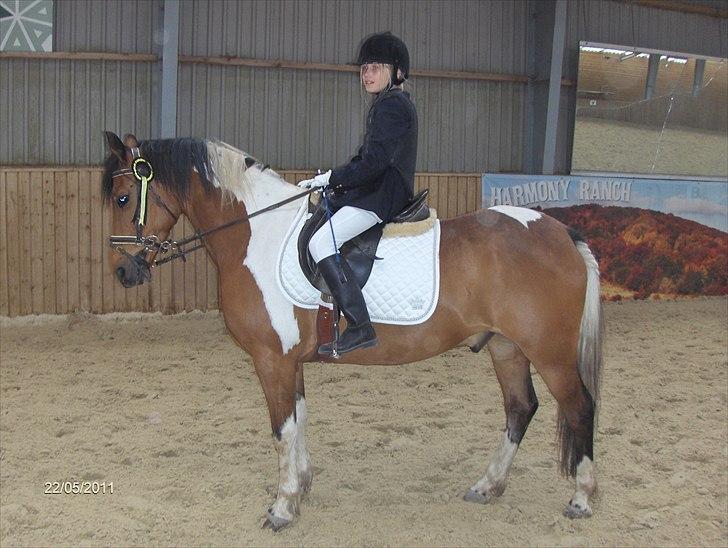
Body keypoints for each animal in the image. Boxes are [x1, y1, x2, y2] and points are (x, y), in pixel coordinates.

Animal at [102, 132, 604, 531]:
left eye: (124, 198)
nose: (123, 273)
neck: (256, 233)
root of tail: (562, 233)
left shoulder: (271, 359)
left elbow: (282, 429)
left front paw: (282, 508)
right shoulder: (291, 361)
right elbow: (300, 419)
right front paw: (302, 486)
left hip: (549, 352)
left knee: (579, 406)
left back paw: (581, 499)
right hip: (507, 348)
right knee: (520, 409)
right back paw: (488, 485)